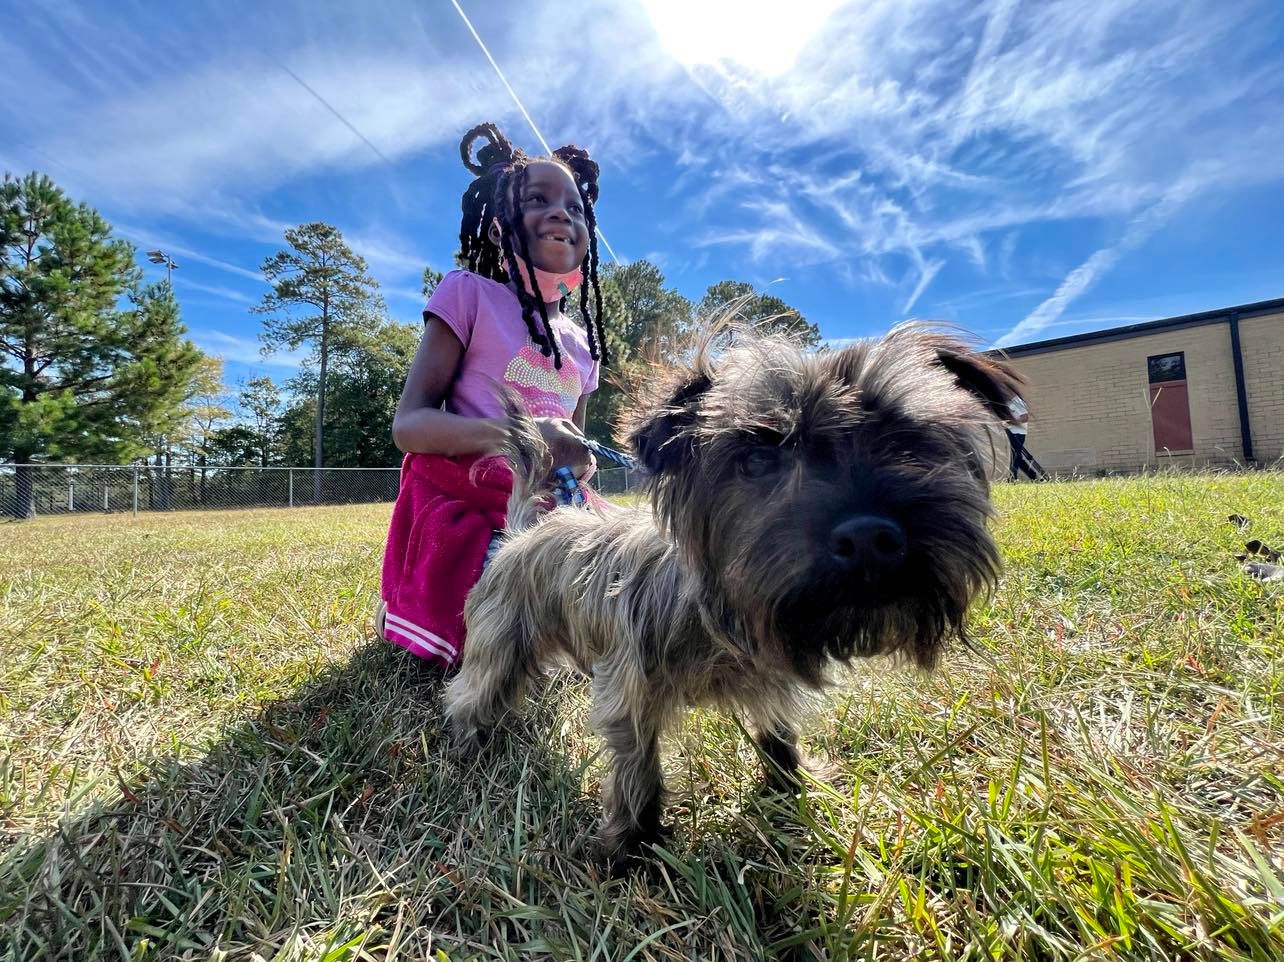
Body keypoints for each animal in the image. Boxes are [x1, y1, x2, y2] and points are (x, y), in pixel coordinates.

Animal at [449, 326, 1022, 857]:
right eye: (757, 460)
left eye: (908, 437)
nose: (867, 536)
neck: (722, 611)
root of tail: (519, 536)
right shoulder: (629, 687)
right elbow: (637, 766)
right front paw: (634, 845)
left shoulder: (773, 676)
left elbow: (778, 731)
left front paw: (790, 786)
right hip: (500, 648)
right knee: (469, 693)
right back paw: (467, 746)